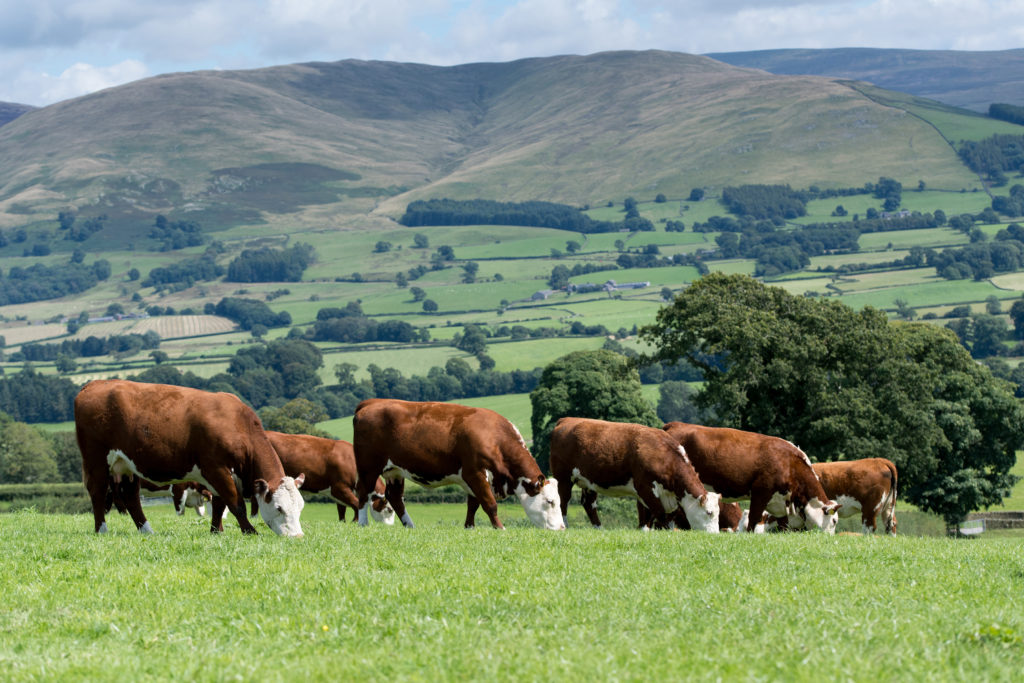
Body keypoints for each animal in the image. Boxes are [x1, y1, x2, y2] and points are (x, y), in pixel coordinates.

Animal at [75, 379, 305, 537]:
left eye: (301, 507)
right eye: (279, 507)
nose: (297, 536)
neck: (237, 425)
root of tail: (95, 384)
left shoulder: (216, 475)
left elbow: (219, 504)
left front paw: (216, 532)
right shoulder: (216, 468)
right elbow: (235, 502)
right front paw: (250, 532)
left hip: (127, 465)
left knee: (131, 496)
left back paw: (147, 531)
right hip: (96, 459)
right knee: (98, 492)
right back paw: (102, 530)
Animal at [249, 431, 396, 525]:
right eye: (390, 509)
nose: (390, 526)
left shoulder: (339, 493)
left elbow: (341, 509)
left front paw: (343, 523)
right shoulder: (339, 487)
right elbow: (355, 504)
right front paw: (355, 522)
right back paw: (254, 518)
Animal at [352, 399, 564, 530]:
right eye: (549, 501)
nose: (561, 528)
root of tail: (372, 402)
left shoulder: (472, 478)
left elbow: (473, 504)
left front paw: (469, 527)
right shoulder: (475, 473)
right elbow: (489, 504)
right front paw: (500, 528)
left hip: (394, 471)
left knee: (395, 497)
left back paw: (410, 525)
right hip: (368, 467)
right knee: (363, 493)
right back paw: (363, 523)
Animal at [549, 417, 720, 532]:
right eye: (709, 512)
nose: (714, 534)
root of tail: (567, 420)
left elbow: (660, 514)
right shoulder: (645, 487)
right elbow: (656, 512)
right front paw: (650, 530)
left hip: (588, 482)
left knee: (588, 504)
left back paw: (599, 528)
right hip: (563, 478)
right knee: (563, 501)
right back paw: (565, 525)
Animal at [662, 422, 840, 533]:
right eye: (834, 521)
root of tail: (675, 424)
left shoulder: (780, 502)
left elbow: (783, 524)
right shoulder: (761, 491)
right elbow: (753, 518)